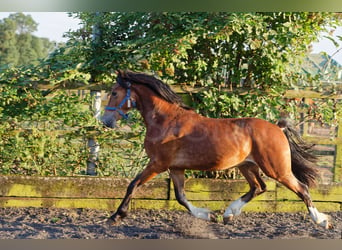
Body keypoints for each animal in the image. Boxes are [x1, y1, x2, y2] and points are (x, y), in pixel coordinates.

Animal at [101, 70, 332, 229]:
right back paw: (229, 214)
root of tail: (278, 128)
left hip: (277, 169)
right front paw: (208, 215)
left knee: (302, 189)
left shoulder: (158, 164)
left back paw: (321, 221)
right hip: (247, 166)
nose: (105, 121)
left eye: (114, 92)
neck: (166, 121)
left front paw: (116, 216)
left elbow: (133, 185)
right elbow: (180, 197)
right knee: (259, 187)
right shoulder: (175, 168)